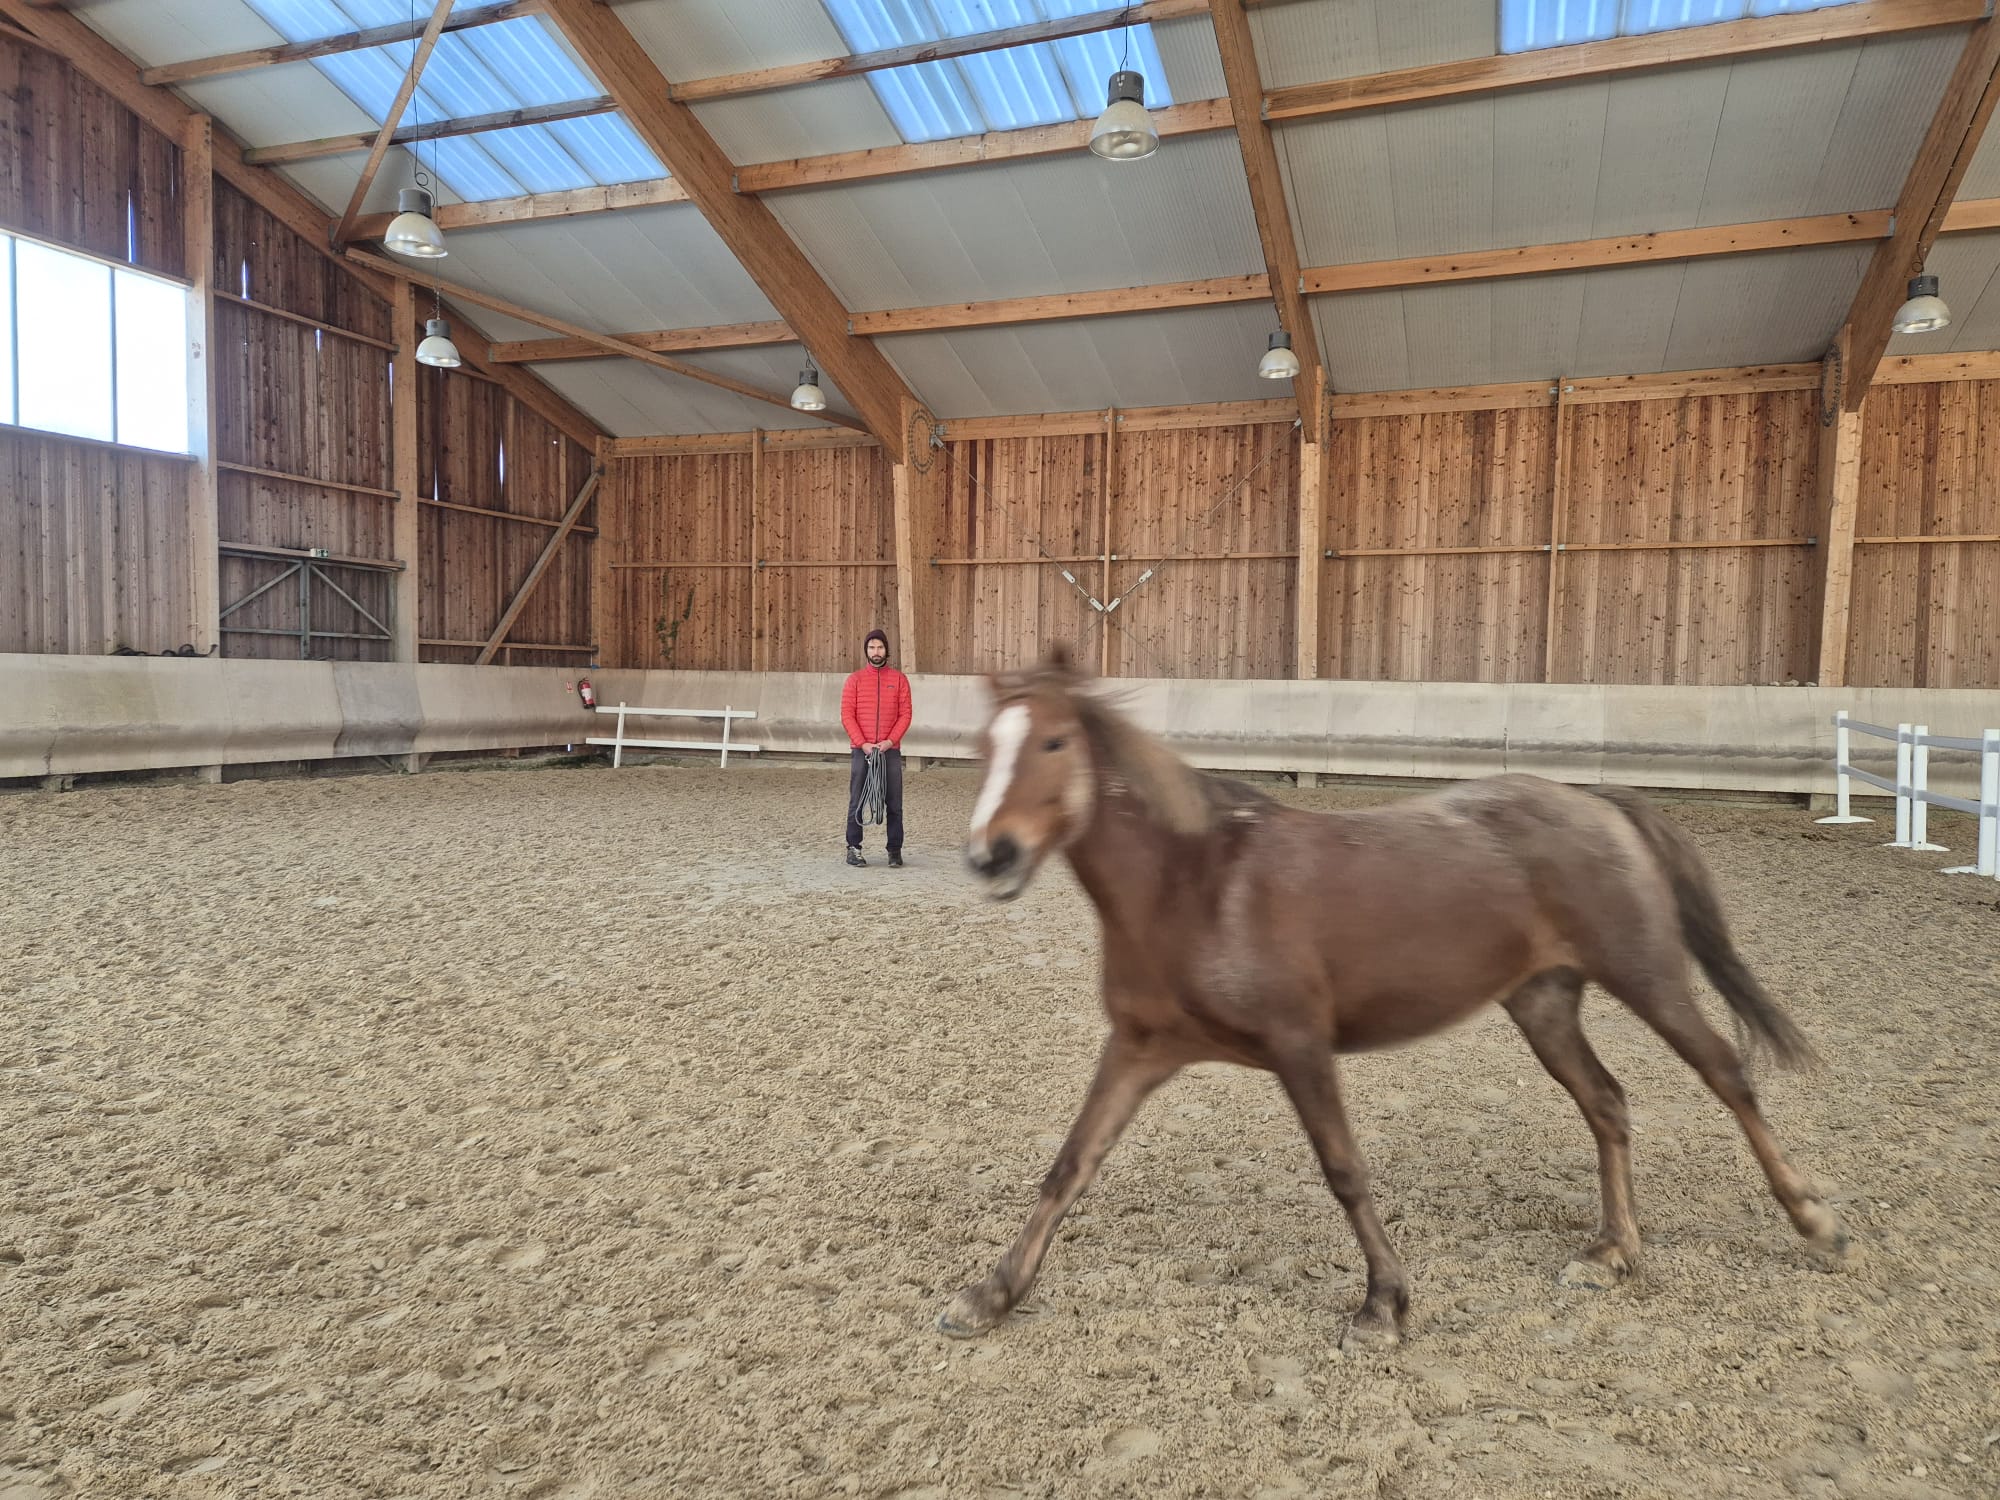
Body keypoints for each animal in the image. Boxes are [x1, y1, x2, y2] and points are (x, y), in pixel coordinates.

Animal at [939, 645, 1846, 1351]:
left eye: (1055, 740)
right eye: (985, 744)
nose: (992, 856)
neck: (1191, 887)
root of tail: (1594, 801)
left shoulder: (1300, 1047)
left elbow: (1344, 1169)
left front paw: (1382, 1307)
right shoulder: (1139, 1047)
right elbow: (1070, 1165)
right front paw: (990, 1296)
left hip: (1648, 976)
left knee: (1727, 1072)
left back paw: (1815, 1221)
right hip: (1544, 1005)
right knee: (1608, 1103)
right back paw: (1611, 1253)